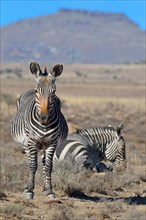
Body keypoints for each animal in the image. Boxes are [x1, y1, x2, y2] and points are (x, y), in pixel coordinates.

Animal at [10, 61, 68, 199]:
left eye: (54, 91)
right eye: (37, 91)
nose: (44, 118)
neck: (44, 125)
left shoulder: (52, 142)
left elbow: (48, 166)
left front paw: (49, 191)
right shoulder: (32, 141)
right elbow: (33, 165)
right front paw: (29, 190)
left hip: (44, 145)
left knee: (43, 162)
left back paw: (44, 188)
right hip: (26, 143)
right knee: (31, 161)